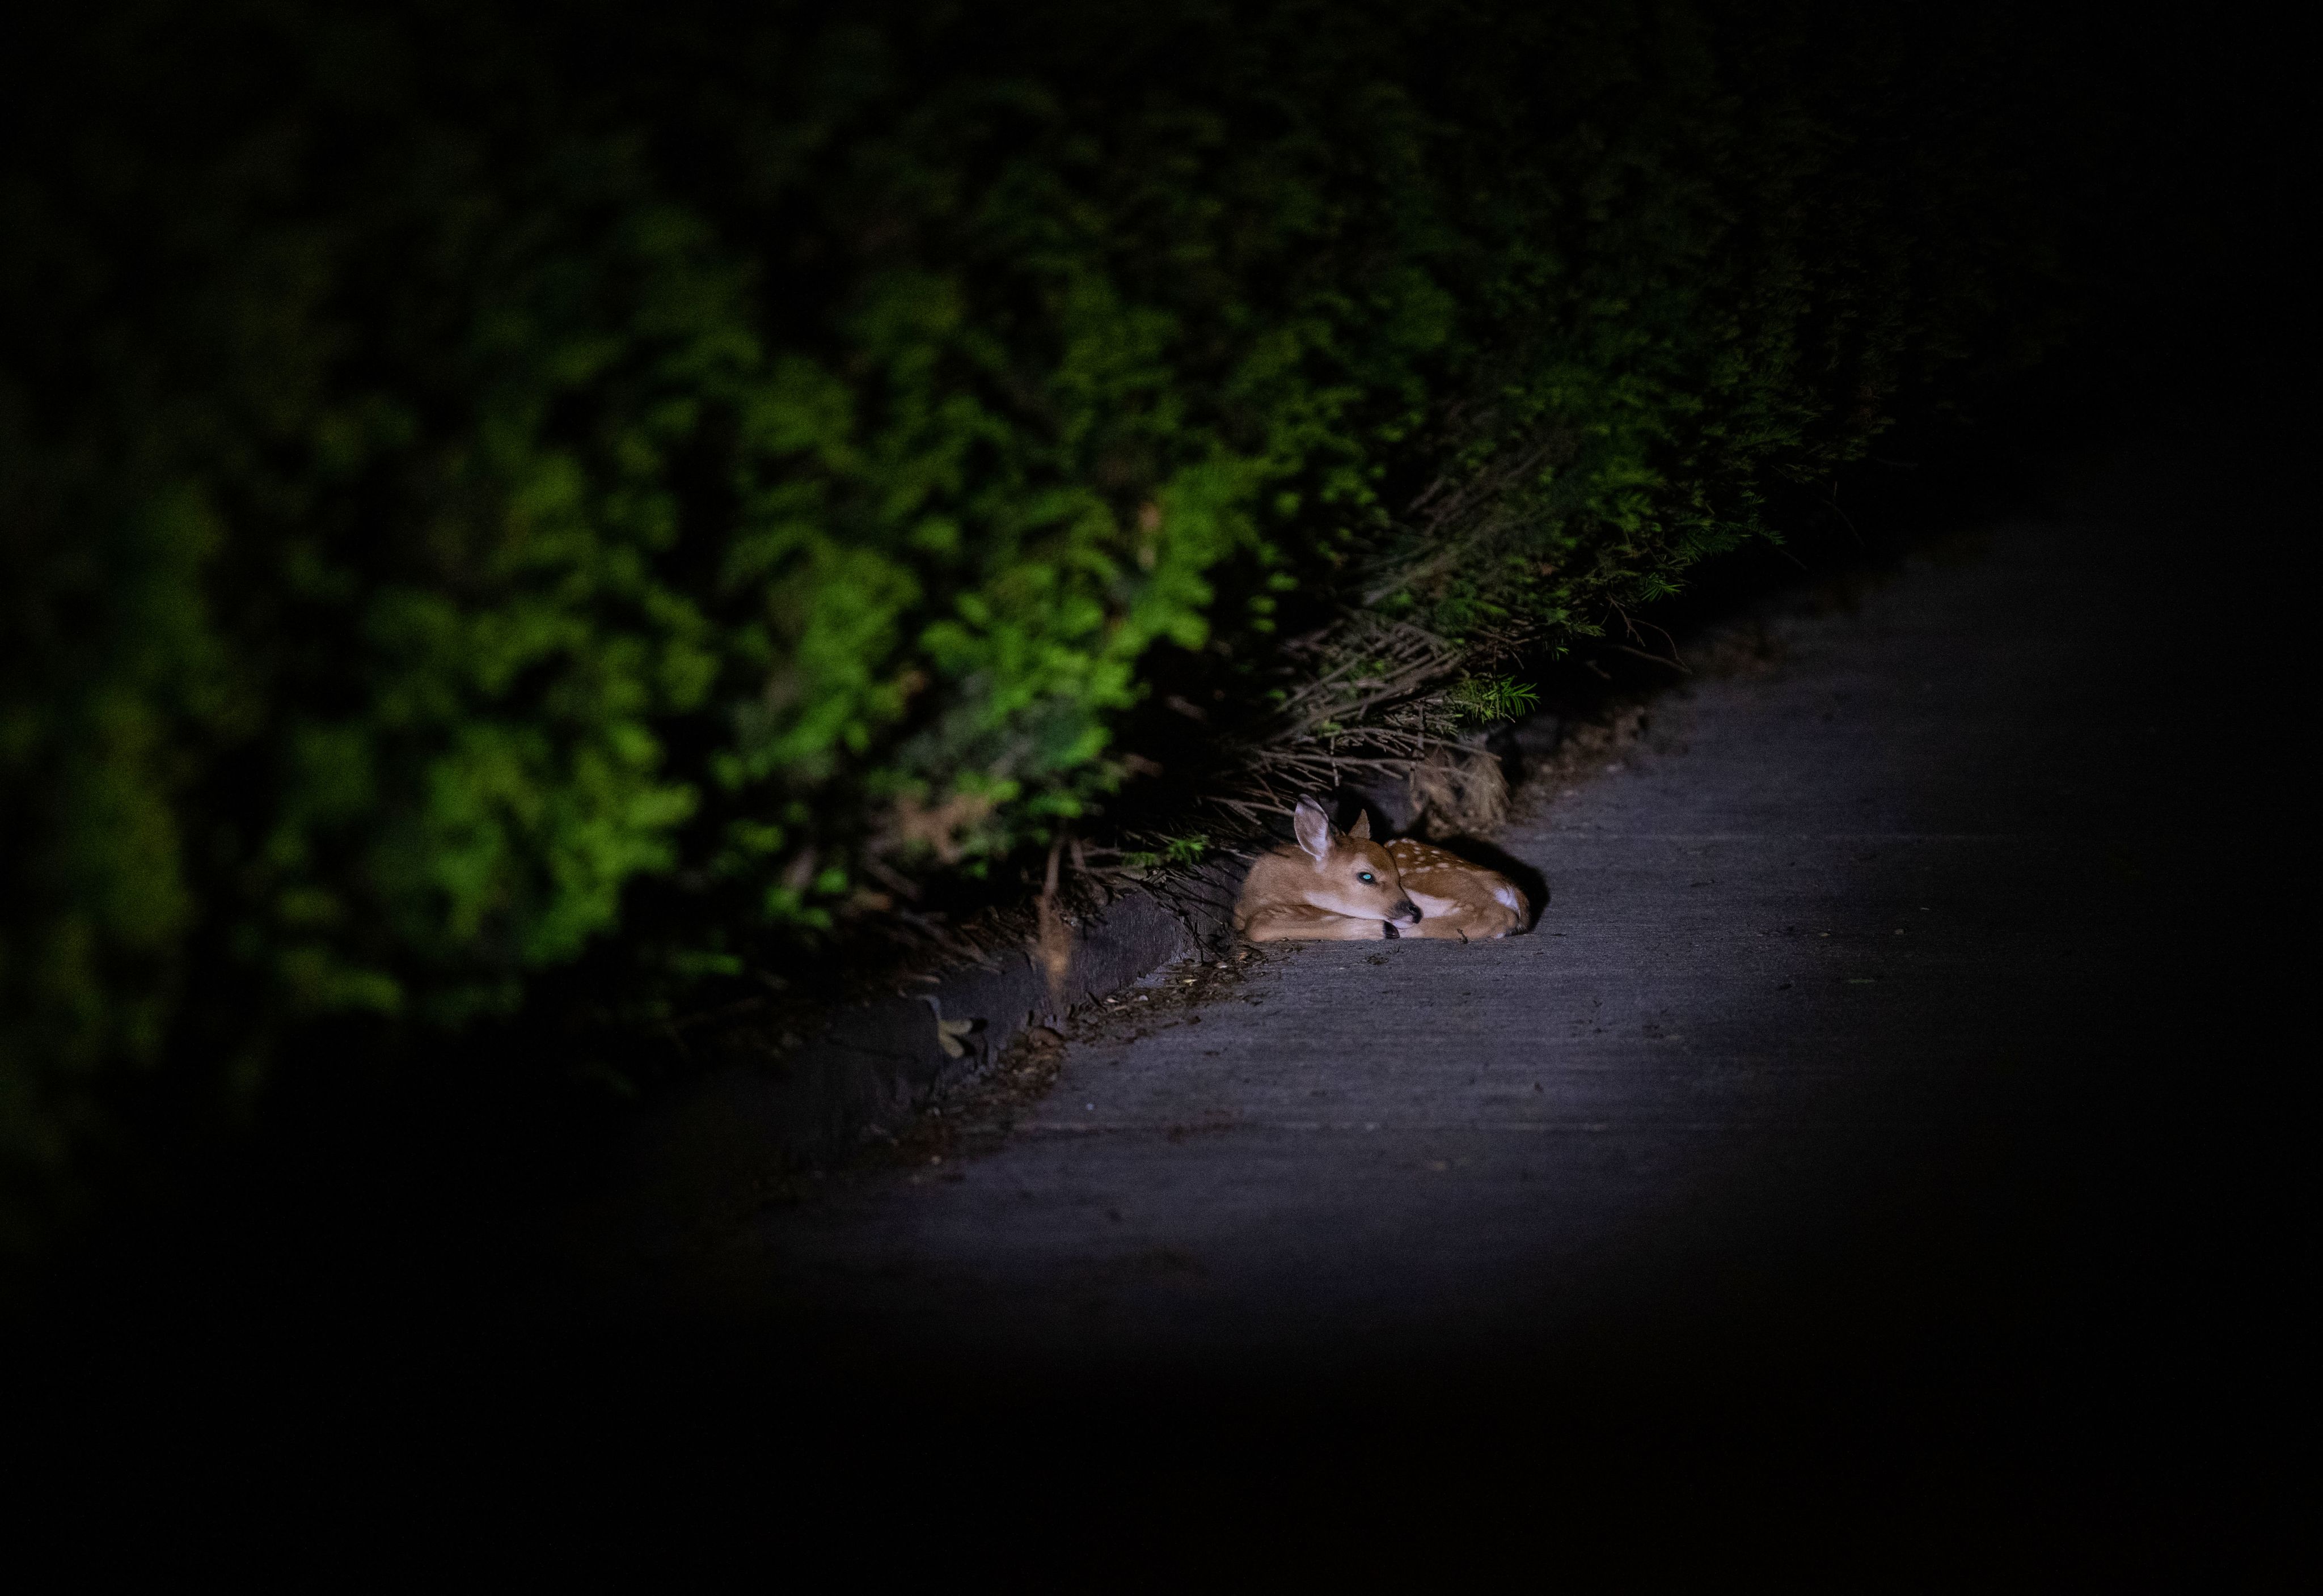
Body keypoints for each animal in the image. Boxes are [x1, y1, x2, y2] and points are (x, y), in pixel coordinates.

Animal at [1234, 797, 1530, 943]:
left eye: (1394, 874)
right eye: (1367, 876)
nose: (1413, 912)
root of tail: (1511, 890)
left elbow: (1257, 928)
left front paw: (1379, 929)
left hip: (1428, 882)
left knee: (1495, 914)